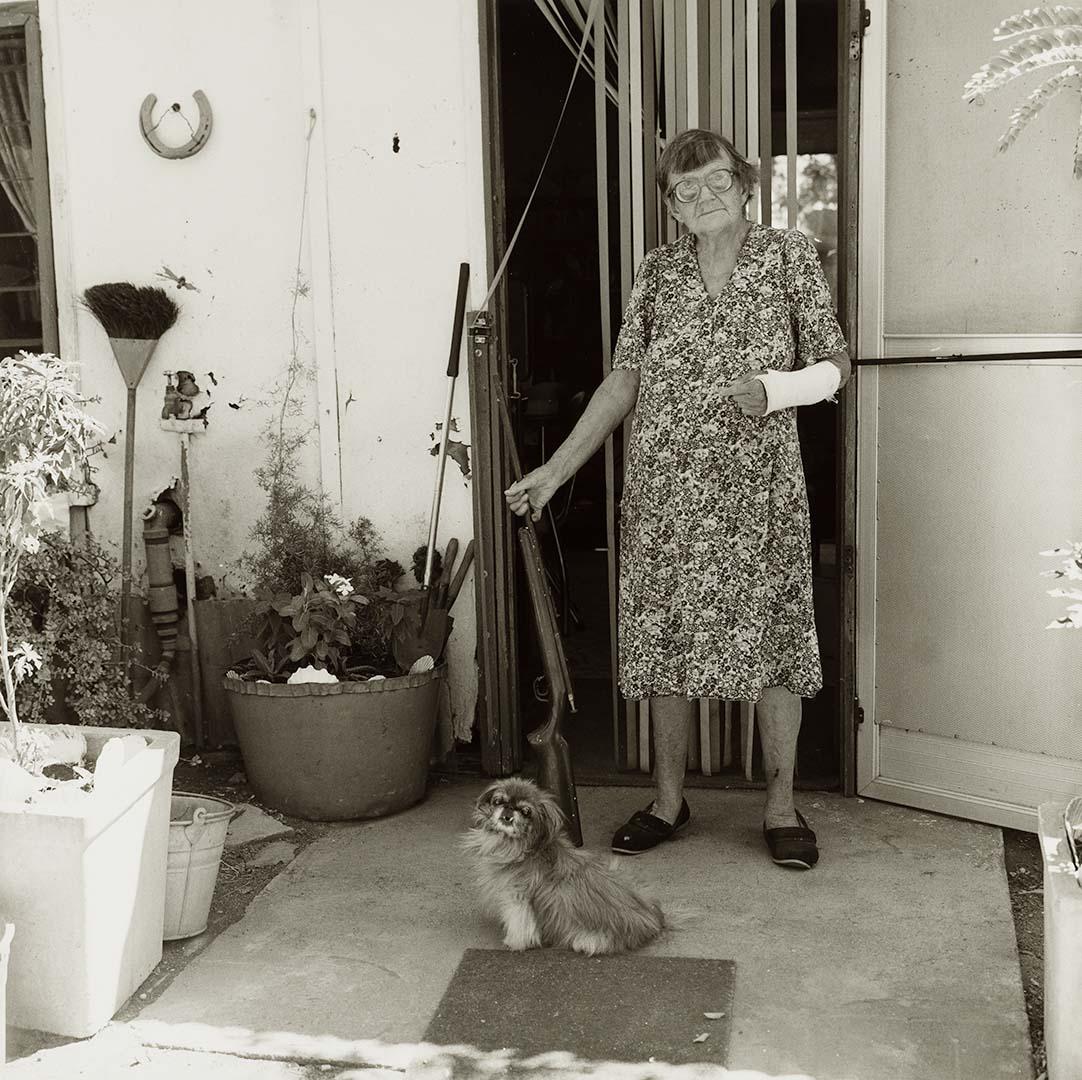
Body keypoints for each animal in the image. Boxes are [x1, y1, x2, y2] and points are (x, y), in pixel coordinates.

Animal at [460, 779, 662, 956]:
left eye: (526, 811)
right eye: (498, 801)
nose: (508, 810)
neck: (521, 847)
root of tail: (650, 922)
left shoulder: (518, 898)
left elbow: (520, 924)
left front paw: (515, 943)